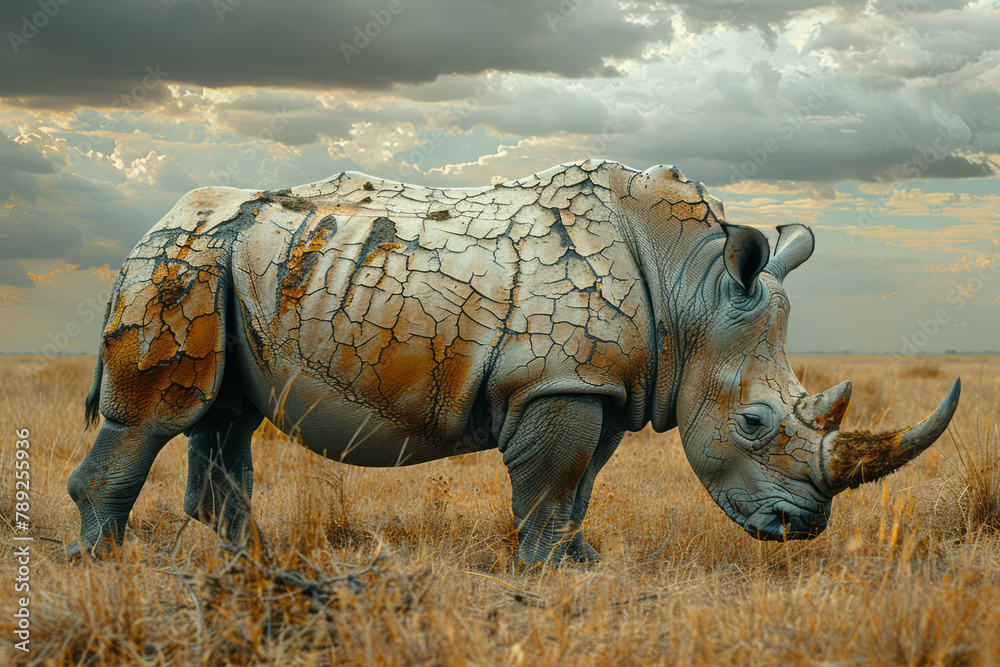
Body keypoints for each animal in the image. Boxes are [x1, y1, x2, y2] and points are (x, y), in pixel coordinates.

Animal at [67, 160, 960, 566]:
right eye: (753, 422)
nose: (801, 528)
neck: (692, 289)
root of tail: (149, 226)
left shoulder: (602, 382)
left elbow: (581, 483)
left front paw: (578, 562)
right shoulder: (555, 379)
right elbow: (551, 481)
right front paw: (543, 570)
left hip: (243, 266)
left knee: (224, 417)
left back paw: (256, 563)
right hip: (179, 261)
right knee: (157, 415)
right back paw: (103, 565)